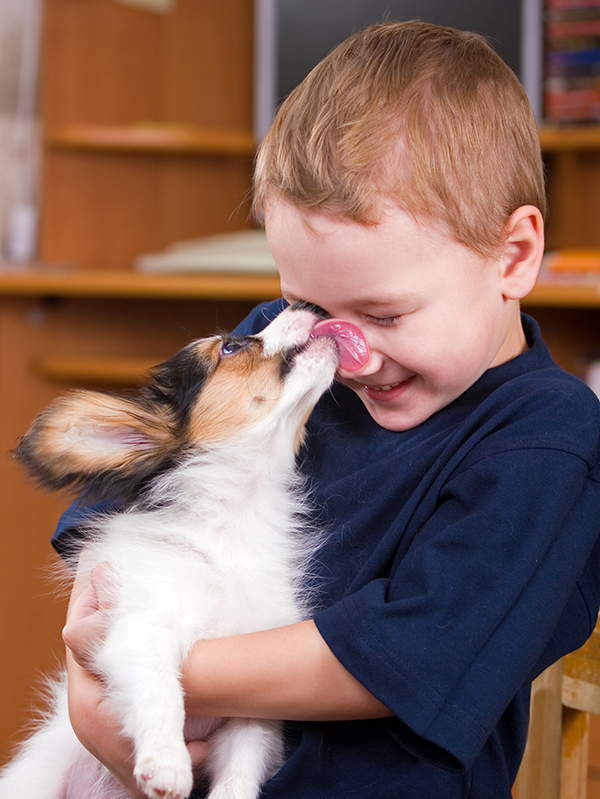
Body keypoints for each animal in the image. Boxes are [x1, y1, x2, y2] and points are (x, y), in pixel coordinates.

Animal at [0, 306, 366, 799]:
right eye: (229, 347)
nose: (308, 308)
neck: (234, 527)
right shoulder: (141, 630)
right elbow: (161, 693)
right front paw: (166, 761)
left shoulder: (253, 711)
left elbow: (241, 769)